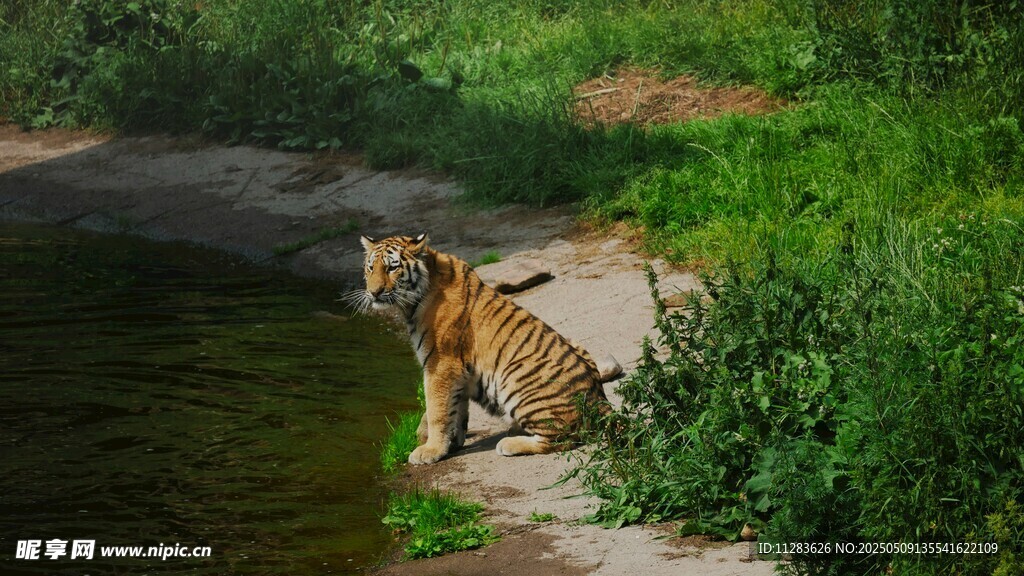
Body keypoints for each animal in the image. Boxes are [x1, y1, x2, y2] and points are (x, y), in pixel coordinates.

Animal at [345, 233, 611, 465]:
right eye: (371, 268)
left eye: (392, 268)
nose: (374, 292)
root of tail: (600, 400)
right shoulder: (457, 373)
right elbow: (456, 410)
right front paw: (451, 444)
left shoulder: (440, 365)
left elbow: (437, 410)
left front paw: (429, 451)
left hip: (514, 374)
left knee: (563, 437)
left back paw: (509, 443)